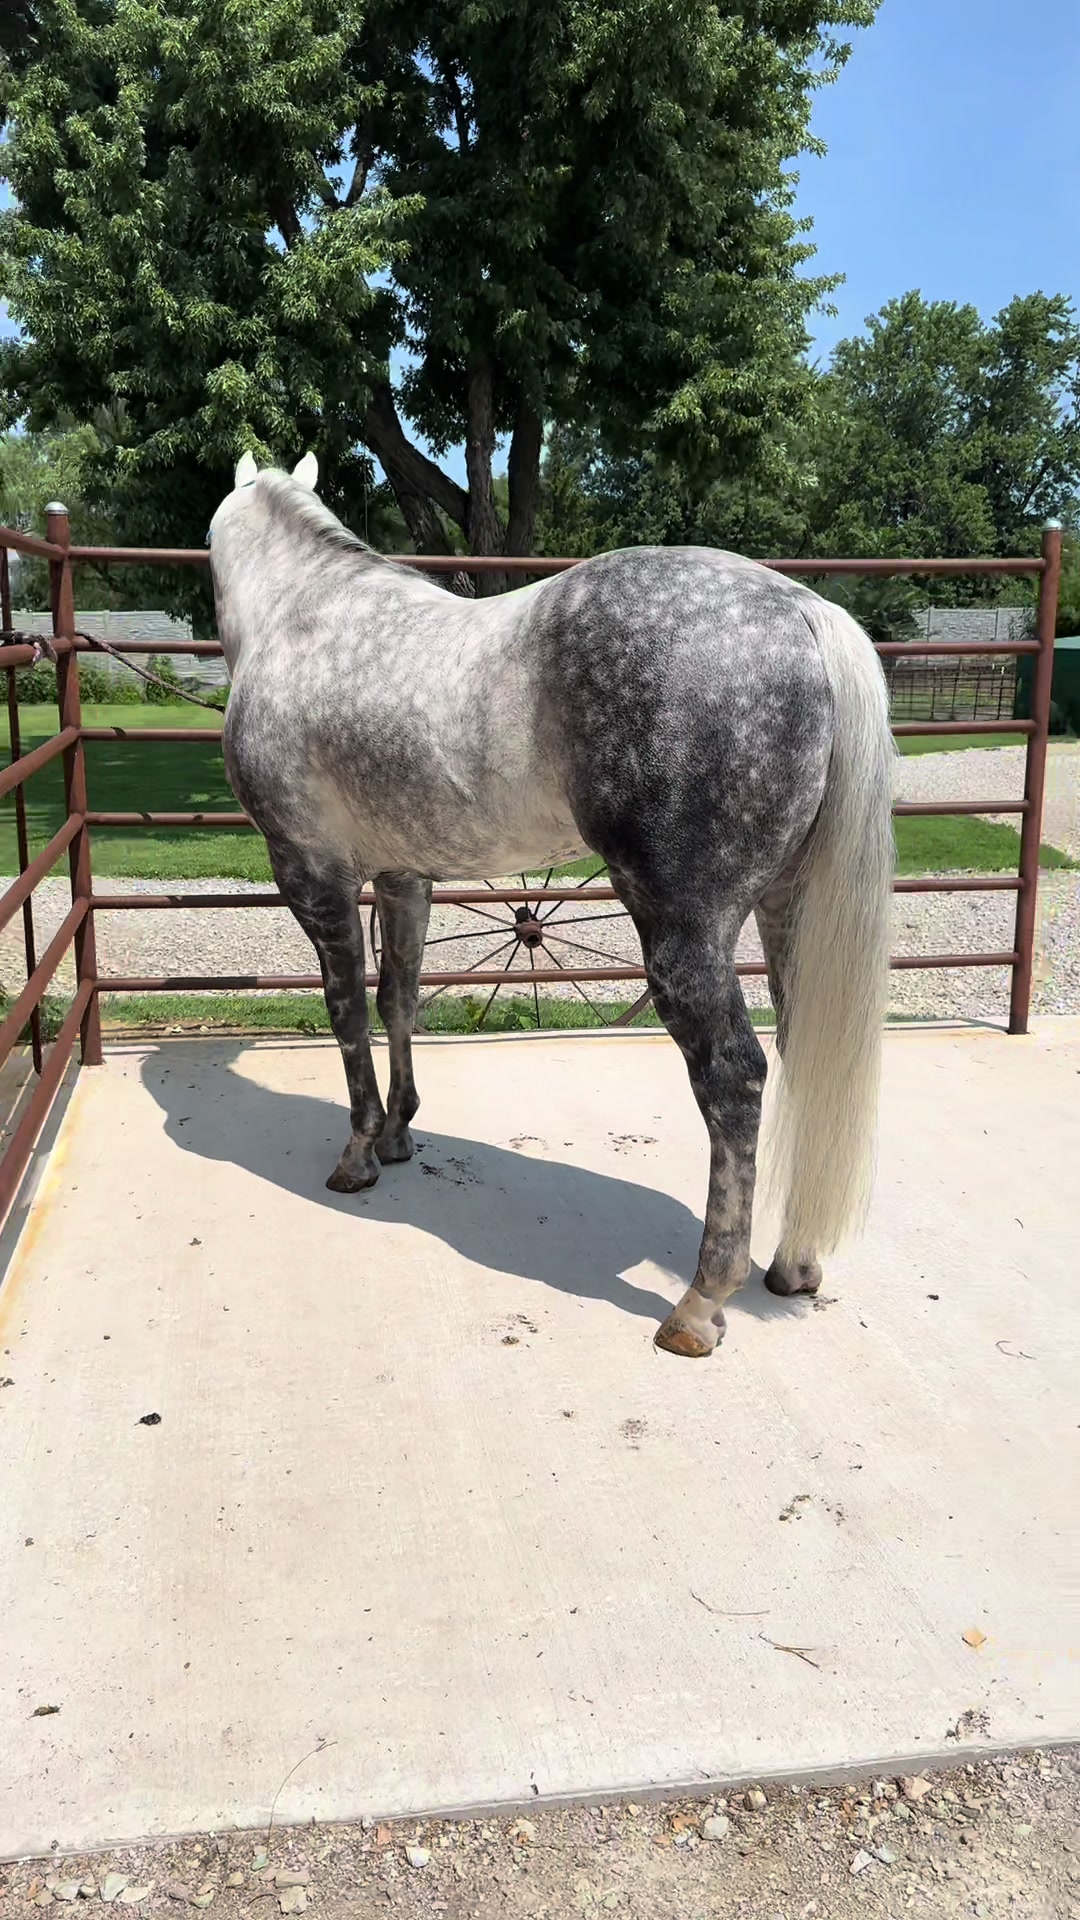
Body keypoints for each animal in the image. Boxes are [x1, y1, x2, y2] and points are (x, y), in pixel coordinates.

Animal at [209, 452, 894, 1359]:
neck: (302, 615)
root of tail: (806, 614)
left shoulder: (311, 872)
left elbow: (346, 1010)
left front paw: (358, 1153)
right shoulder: (403, 876)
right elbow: (399, 1000)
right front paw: (398, 1135)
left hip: (684, 931)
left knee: (734, 1076)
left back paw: (699, 1305)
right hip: (791, 913)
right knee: (803, 1053)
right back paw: (794, 1264)